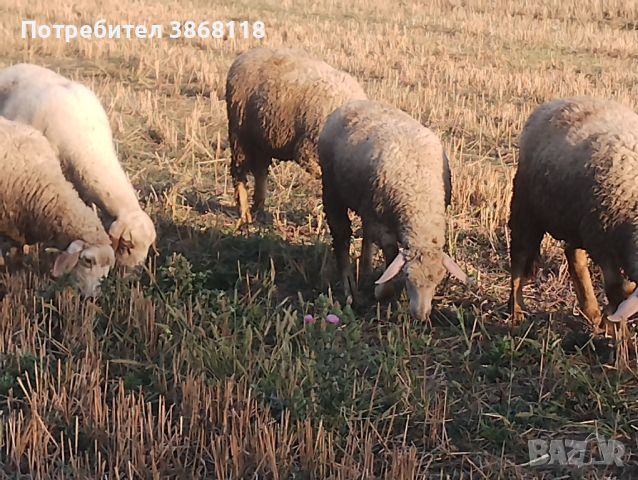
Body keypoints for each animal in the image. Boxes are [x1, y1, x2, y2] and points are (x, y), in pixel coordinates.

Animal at [318, 99, 470, 320]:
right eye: (408, 276)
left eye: (438, 279)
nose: (421, 316)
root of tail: (354, 102)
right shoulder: (382, 224)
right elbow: (390, 254)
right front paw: (384, 291)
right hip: (332, 189)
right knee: (341, 236)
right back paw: (350, 289)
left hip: (368, 205)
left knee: (365, 234)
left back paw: (365, 271)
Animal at [512, 95, 638, 332]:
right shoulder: (601, 240)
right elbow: (617, 288)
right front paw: (614, 326)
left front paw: (606, 319)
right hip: (526, 206)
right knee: (520, 254)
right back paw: (516, 311)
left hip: (574, 218)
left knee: (573, 255)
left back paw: (591, 310)